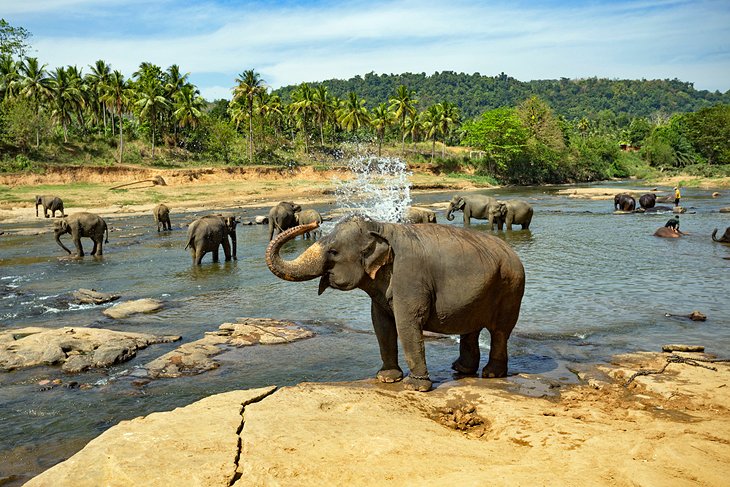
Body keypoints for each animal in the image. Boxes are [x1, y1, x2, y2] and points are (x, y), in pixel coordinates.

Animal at [266, 217, 524, 392]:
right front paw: (387, 378)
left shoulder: (410, 277)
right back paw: (461, 369)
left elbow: (407, 323)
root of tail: (512, 251)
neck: (380, 227)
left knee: (500, 331)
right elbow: (381, 324)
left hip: (511, 288)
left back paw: (491, 374)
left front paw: (414, 387)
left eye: (333, 251)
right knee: (471, 328)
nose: (314, 221)